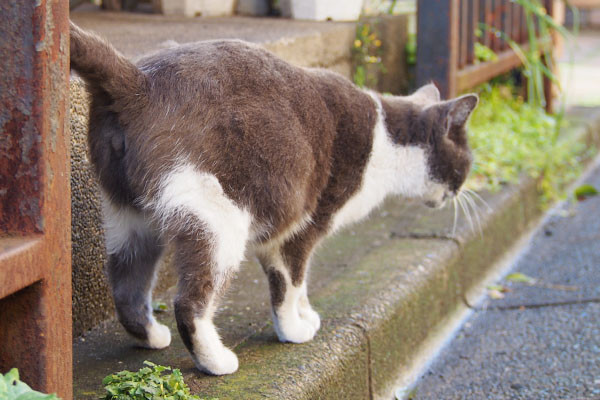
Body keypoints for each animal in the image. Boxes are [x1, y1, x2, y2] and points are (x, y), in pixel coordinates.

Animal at [68, 21, 476, 376]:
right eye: (467, 159)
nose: (463, 189)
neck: (387, 141)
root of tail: (139, 81)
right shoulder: (298, 228)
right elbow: (289, 286)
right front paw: (293, 330)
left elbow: (302, 284)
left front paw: (307, 314)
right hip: (219, 220)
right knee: (190, 301)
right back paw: (216, 361)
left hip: (129, 217)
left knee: (126, 285)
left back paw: (152, 336)